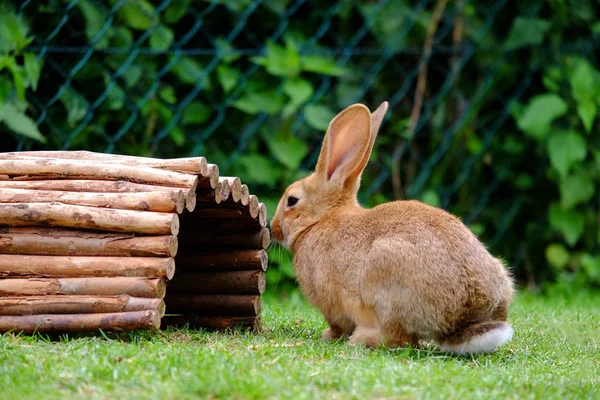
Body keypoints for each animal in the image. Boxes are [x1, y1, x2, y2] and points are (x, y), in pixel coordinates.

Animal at [272, 101, 516, 354]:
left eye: (292, 200)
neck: (319, 220)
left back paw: (362, 339)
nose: (273, 228)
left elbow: (338, 323)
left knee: (400, 340)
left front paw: (328, 336)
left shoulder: (331, 301)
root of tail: (461, 319)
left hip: (384, 278)